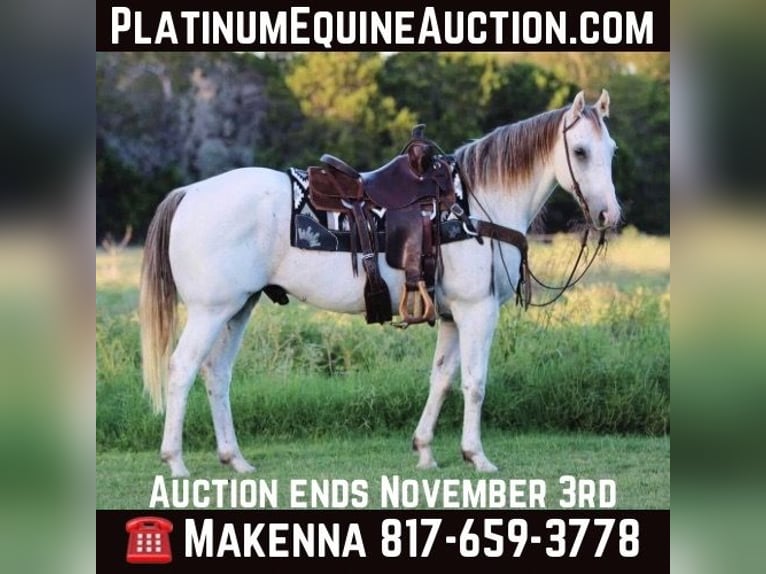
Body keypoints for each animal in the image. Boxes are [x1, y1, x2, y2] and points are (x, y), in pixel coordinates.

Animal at [139, 89, 620, 477]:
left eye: (611, 150)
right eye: (579, 151)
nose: (608, 216)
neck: (474, 206)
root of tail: (190, 193)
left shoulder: (452, 316)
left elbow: (442, 378)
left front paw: (425, 451)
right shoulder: (476, 310)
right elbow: (475, 382)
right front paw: (476, 456)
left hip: (239, 307)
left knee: (216, 372)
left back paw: (234, 459)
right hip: (211, 311)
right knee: (182, 369)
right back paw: (175, 461)